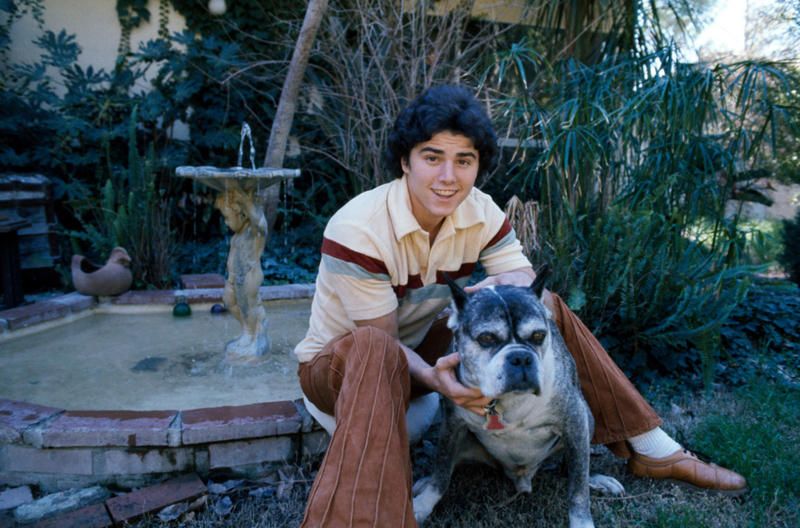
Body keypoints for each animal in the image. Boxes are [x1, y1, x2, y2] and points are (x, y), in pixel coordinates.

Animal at [412, 268, 624, 528]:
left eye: (539, 335)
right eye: (487, 338)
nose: (521, 357)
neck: (507, 401)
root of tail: (522, 477)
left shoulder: (574, 420)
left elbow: (578, 488)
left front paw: (582, 521)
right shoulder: (452, 424)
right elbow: (442, 468)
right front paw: (424, 504)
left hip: (587, 420)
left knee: (573, 467)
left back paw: (597, 479)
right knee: (449, 463)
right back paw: (424, 482)